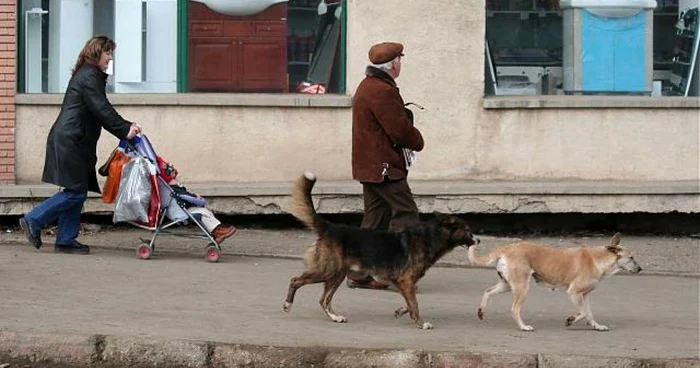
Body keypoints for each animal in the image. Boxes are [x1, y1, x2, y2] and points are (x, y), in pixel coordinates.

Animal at [282, 172, 478, 330]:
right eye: (467, 230)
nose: (478, 240)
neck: (430, 236)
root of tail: (330, 227)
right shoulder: (406, 280)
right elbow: (414, 304)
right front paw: (421, 323)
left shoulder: (404, 282)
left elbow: (410, 303)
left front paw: (400, 312)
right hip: (327, 270)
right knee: (295, 280)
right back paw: (287, 305)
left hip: (337, 275)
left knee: (324, 299)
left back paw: (336, 317)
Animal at [470, 234, 640, 332]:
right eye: (631, 258)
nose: (640, 269)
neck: (598, 259)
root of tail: (508, 247)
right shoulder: (574, 293)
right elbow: (583, 312)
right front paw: (571, 320)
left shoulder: (584, 295)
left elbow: (589, 313)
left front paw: (596, 326)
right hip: (522, 287)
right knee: (514, 309)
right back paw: (523, 327)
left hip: (507, 285)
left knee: (487, 291)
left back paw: (481, 311)